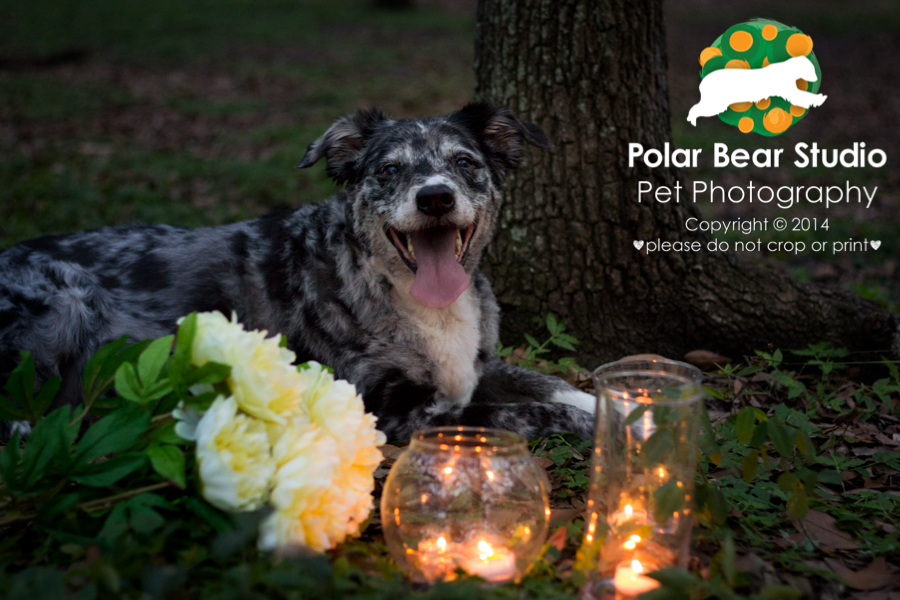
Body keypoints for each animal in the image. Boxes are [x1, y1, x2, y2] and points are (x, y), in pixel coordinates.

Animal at [0, 103, 596, 440]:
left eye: (465, 162)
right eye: (389, 170)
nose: (434, 198)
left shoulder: (475, 366)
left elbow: (552, 384)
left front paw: (614, 402)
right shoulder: (393, 409)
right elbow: (529, 415)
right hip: (68, 301)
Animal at [692, 55, 828, 124]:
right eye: (811, 70)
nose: (817, 78)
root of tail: (703, 82)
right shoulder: (790, 91)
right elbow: (805, 96)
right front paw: (819, 99)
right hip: (715, 104)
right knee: (694, 109)